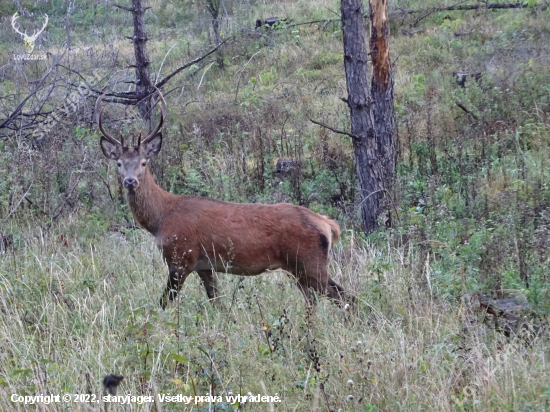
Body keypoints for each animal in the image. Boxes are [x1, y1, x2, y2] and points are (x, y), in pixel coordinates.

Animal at [96, 90, 350, 308]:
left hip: (309, 262)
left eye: (143, 163)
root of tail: (328, 225)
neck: (160, 219)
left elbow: (163, 303)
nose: (130, 181)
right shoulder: (204, 266)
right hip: (301, 269)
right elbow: (216, 301)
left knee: (345, 297)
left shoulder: (181, 258)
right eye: (119, 163)